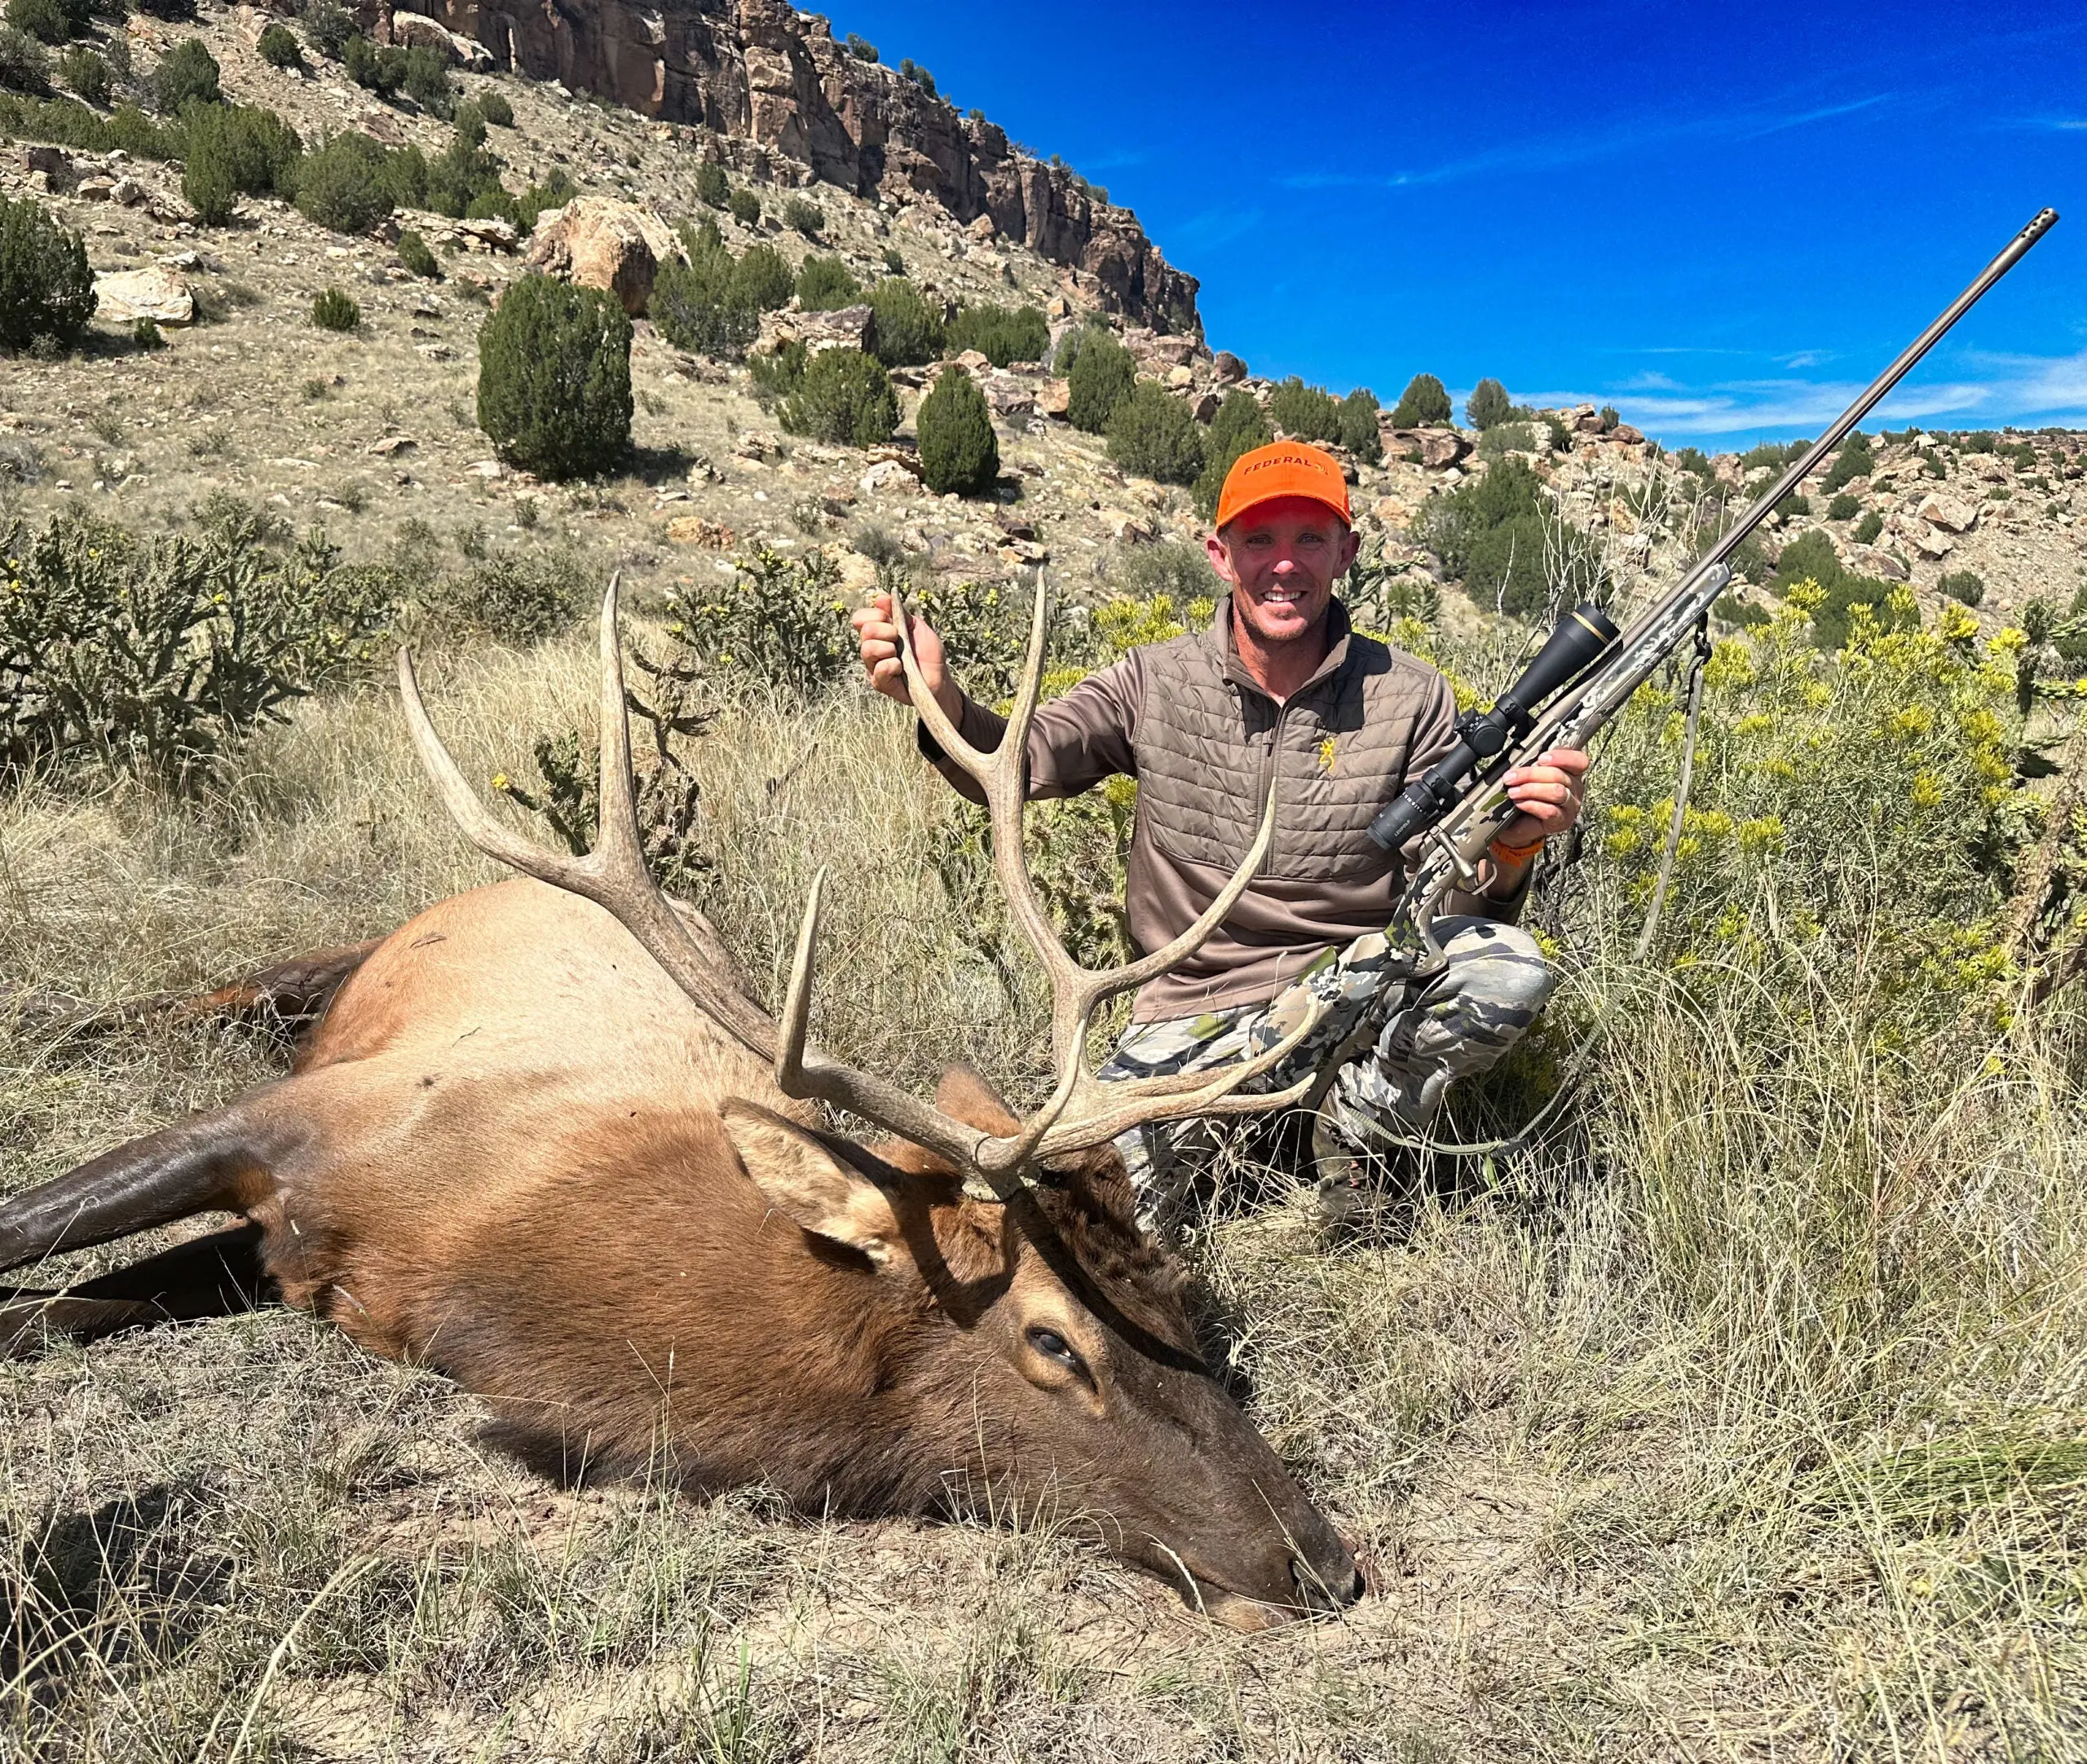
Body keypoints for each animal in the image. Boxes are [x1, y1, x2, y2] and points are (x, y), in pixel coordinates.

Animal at [0, 580, 1369, 1628]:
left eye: (1182, 1298)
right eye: (1053, 1341)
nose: (1327, 1563)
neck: (488, 1273)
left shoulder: (286, 1250)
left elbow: (58, 1309)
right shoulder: (302, 1121)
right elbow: (27, 1223)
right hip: (348, 985)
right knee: (250, 980)